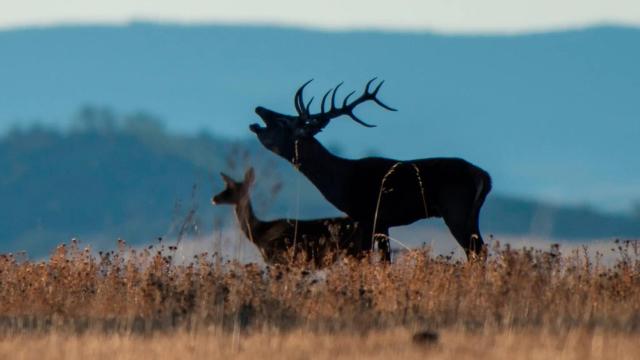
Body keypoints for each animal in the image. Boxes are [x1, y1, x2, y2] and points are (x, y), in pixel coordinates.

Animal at [212, 167, 364, 266]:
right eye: (226, 185)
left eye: (232, 188)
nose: (214, 198)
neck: (260, 232)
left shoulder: (280, 257)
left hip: (352, 252)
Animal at [250, 79, 490, 258]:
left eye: (284, 121)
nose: (259, 108)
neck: (340, 181)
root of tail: (484, 177)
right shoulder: (383, 222)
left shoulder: (366, 216)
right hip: (470, 214)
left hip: (455, 208)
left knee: (476, 252)